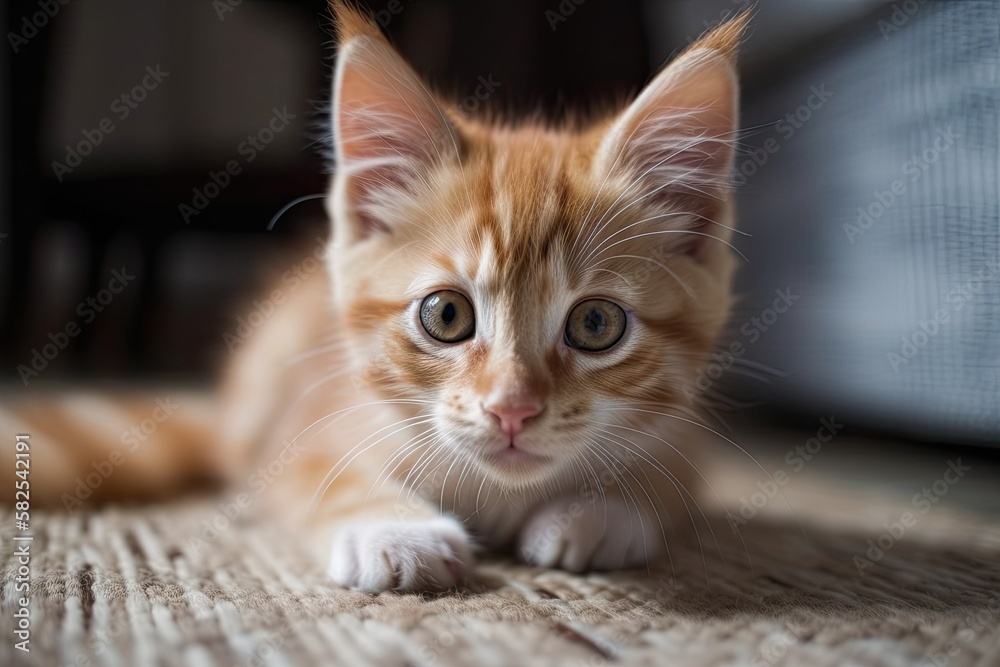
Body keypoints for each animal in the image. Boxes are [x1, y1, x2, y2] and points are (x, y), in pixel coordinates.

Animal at [5, 0, 744, 596]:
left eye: (595, 323)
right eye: (446, 315)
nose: (512, 410)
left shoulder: (687, 432)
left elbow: (667, 469)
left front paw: (602, 508)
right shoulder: (307, 428)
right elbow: (320, 476)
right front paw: (391, 527)